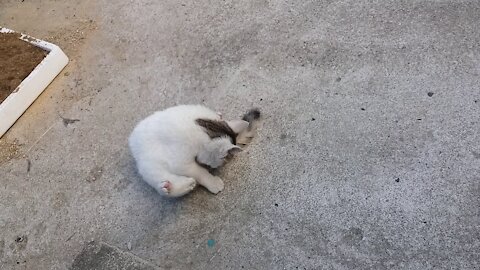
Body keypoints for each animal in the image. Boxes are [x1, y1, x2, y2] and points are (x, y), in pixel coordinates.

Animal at [127, 104, 258, 197]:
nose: (213, 168)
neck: (200, 126)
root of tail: (132, 141)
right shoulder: (180, 162)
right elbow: (199, 172)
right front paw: (212, 182)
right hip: (149, 163)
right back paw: (173, 187)